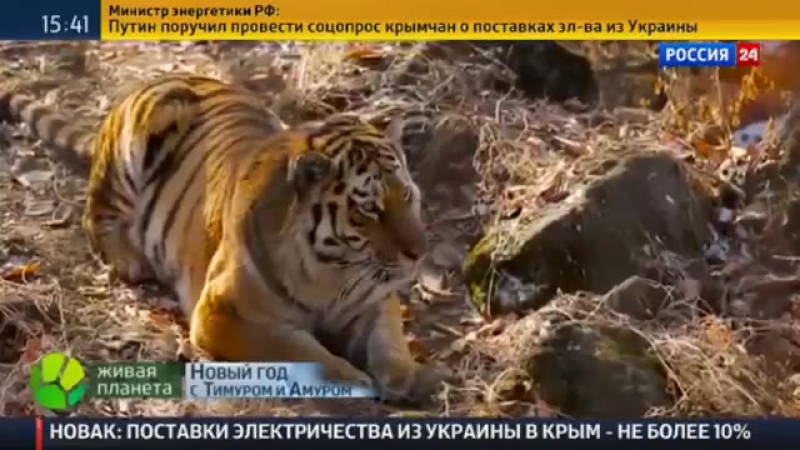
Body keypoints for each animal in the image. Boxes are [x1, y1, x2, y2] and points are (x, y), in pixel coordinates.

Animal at [0, 74, 450, 404]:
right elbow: (306, 354)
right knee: (95, 211)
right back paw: (129, 259)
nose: (418, 253)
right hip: (141, 138)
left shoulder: (374, 301)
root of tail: (168, 76)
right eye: (369, 210)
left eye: (407, 196)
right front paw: (356, 382)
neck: (334, 272)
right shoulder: (224, 313)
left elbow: (389, 341)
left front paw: (406, 376)